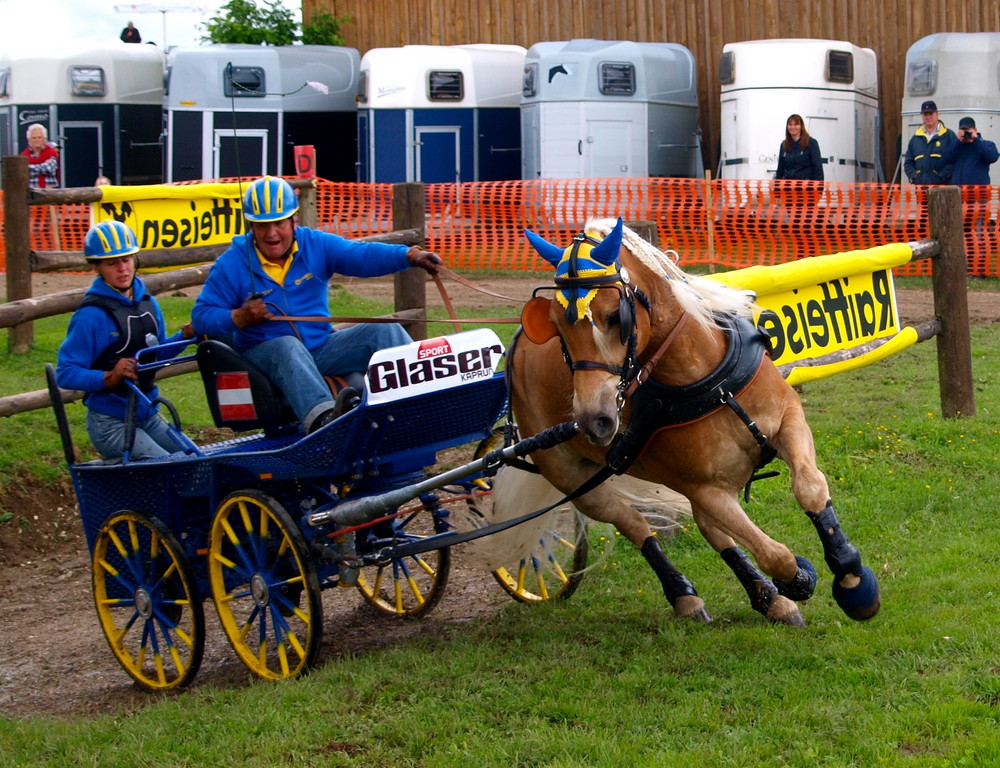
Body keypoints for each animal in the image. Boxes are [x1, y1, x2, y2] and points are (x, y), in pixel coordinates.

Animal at [496, 219, 880, 628]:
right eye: (556, 326)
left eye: (616, 316)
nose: (592, 420)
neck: (706, 380)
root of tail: (518, 347)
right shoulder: (705, 488)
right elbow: (773, 553)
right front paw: (798, 578)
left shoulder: (788, 421)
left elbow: (809, 488)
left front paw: (852, 578)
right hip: (575, 480)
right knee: (637, 526)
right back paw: (688, 596)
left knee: (714, 533)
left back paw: (766, 598)